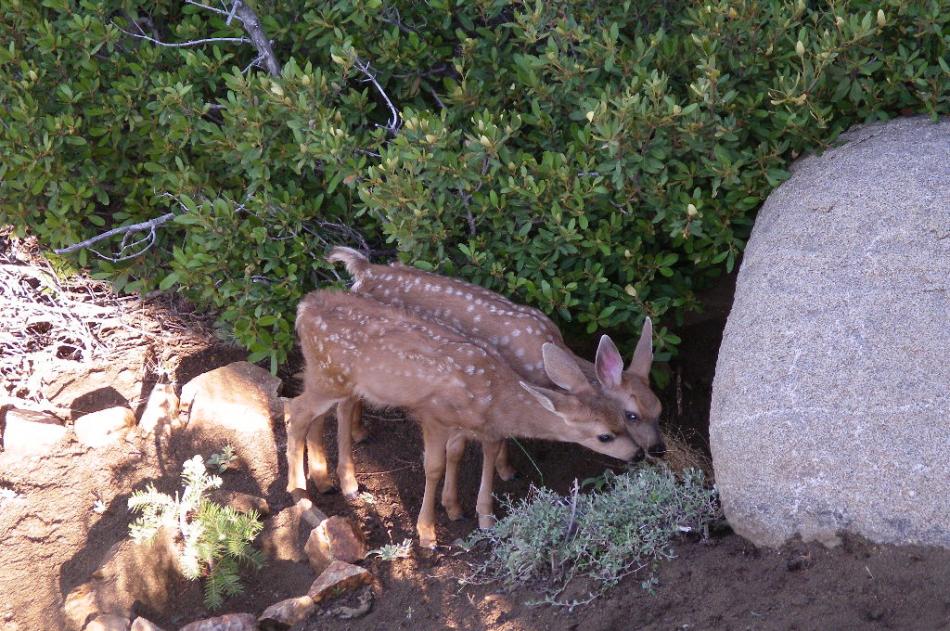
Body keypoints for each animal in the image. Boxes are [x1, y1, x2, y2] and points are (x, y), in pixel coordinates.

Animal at [287, 289, 641, 547]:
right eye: (605, 436)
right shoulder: (433, 415)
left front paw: (456, 508)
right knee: (295, 411)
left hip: (330, 378)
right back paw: (300, 490)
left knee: (319, 412)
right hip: (329, 378)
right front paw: (428, 533)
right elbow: (434, 466)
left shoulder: (464, 426)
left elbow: (456, 454)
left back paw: (326, 481)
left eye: (624, 419)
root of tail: (303, 306)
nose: (638, 453)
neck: (493, 394)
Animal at [324, 246, 665, 504]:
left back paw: (360, 431)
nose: (658, 449)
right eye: (630, 415)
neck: (547, 360)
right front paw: (504, 469)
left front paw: (503, 469)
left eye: (659, 408)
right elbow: (495, 436)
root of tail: (364, 270)